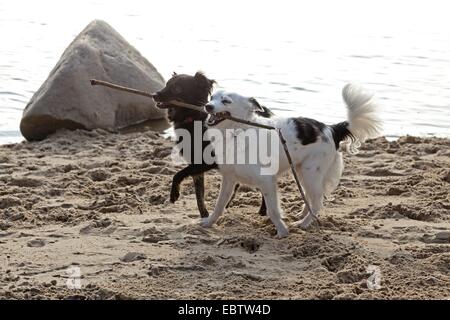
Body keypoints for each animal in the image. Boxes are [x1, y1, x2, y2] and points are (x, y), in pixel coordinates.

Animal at [153, 72, 268, 218]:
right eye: (167, 84)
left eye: (177, 88)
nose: (154, 95)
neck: (193, 119)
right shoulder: (196, 166)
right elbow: (199, 195)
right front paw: (204, 215)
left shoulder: (205, 162)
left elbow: (178, 174)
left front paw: (174, 194)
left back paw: (263, 210)